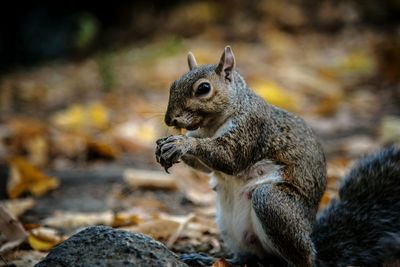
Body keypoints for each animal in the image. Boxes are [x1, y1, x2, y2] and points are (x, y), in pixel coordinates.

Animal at [154, 46, 400, 267]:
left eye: (203, 88)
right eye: (173, 85)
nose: (169, 119)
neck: (212, 126)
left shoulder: (252, 127)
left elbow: (231, 158)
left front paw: (183, 143)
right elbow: (206, 167)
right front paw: (164, 145)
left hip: (272, 203)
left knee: (302, 259)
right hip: (229, 226)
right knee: (247, 258)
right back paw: (210, 259)